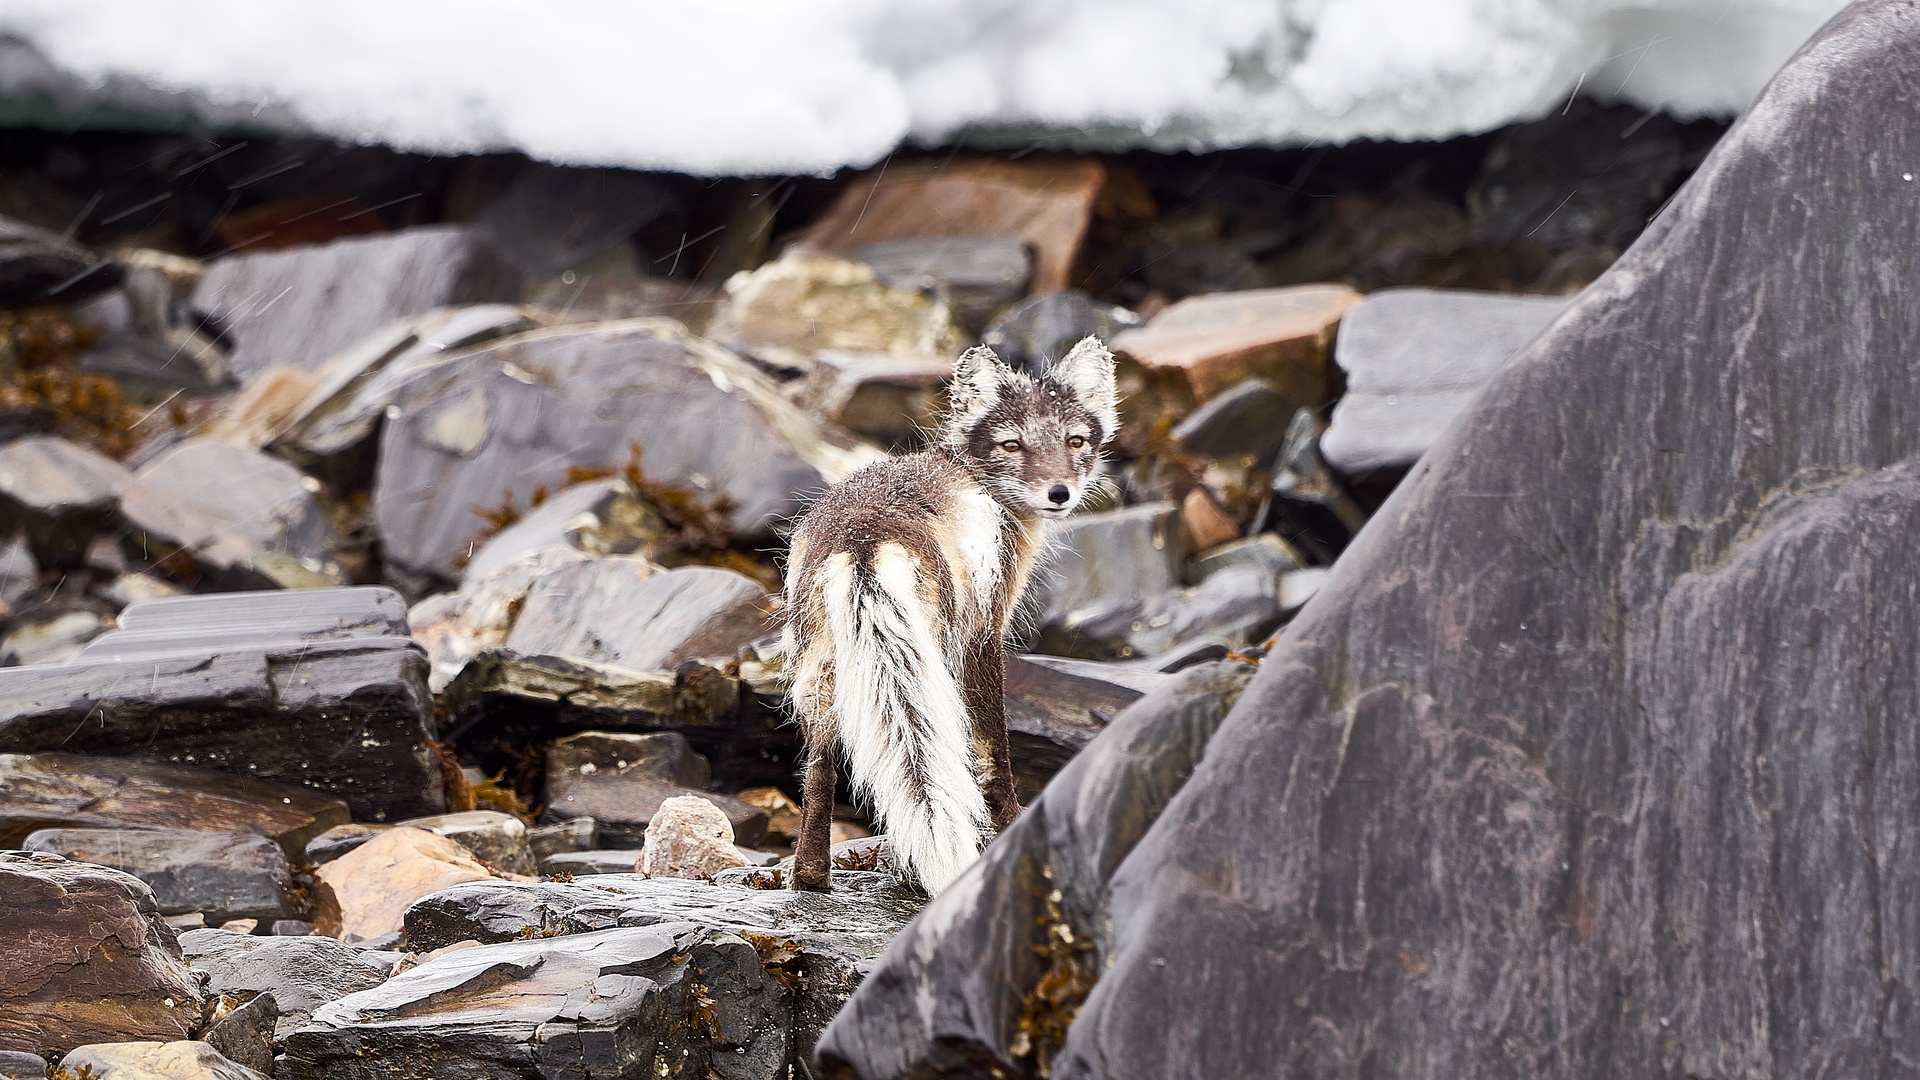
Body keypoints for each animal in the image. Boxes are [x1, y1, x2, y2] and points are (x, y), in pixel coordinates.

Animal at [779, 336, 1121, 891]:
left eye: (1075, 440)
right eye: (1011, 445)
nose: (1059, 494)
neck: (974, 476)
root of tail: (863, 540)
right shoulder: (985, 630)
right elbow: (993, 751)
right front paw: (1010, 825)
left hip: (820, 670)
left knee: (821, 770)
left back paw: (811, 877)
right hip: (931, 646)